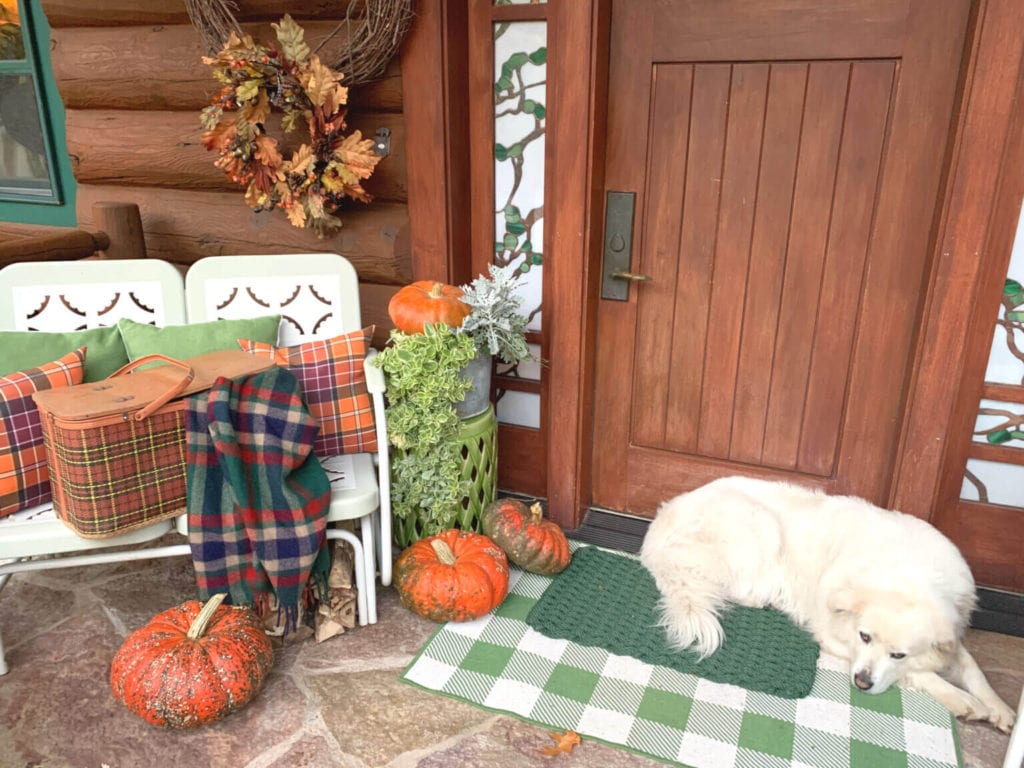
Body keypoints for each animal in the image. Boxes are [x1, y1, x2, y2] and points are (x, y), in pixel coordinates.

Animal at [638, 475, 1015, 733]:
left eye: (898, 653)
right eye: (865, 637)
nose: (861, 683)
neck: (910, 572)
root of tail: (658, 526)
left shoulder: (953, 627)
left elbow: (971, 668)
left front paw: (1000, 708)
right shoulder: (833, 635)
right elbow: (923, 673)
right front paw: (964, 701)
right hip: (760, 524)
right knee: (738, 587)